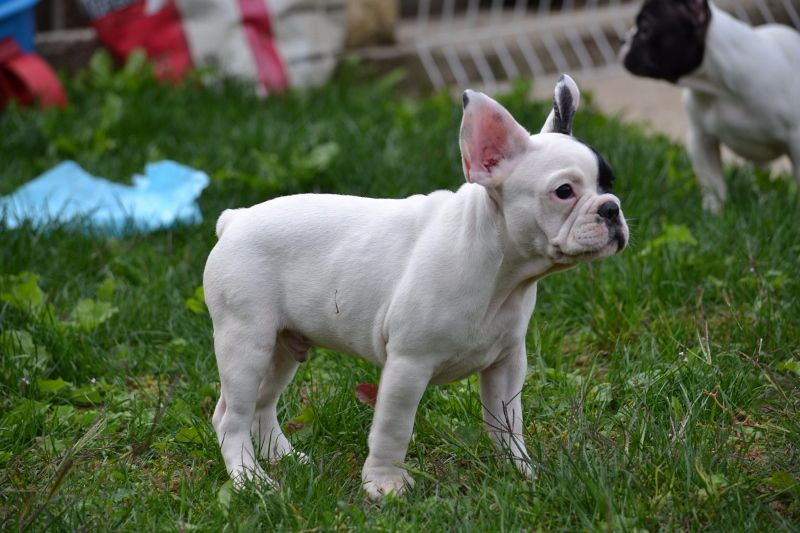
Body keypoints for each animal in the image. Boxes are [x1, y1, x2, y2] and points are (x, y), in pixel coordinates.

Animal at [203, 75, 628, 498]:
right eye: (564, 191)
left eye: (609, 181)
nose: (612, 208)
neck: (499, 269)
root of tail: (234, 220)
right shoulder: (408, 365)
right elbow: (393, 429)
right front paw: (384, 484)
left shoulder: (506, 363)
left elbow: (507, 423)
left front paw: (521, 471)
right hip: (247, 342)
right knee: (231, 416)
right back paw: (249, 478)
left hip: (282, 346)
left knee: (261, 404)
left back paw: (284, 458)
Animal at [620, 0, 800, 212]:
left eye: (646, 28)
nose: (624, 39)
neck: (719, 89)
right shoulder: (700, 139)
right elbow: (711, 181)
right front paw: (714, 212)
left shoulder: (796, 140)